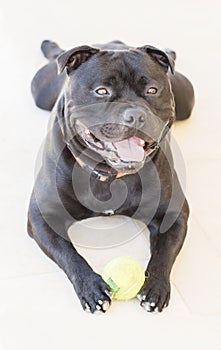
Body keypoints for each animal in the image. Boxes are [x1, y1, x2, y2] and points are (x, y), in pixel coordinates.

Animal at [27, 39, 193, 314]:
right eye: (101, 91)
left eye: (152, 90)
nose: (135, 115)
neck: (109, 174)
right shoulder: (42, 216)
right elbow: (68, 253)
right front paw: (90, 287)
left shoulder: (173, 214)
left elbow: (164, 252)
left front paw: (155, 287)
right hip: (40, 90)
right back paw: (50, 47)